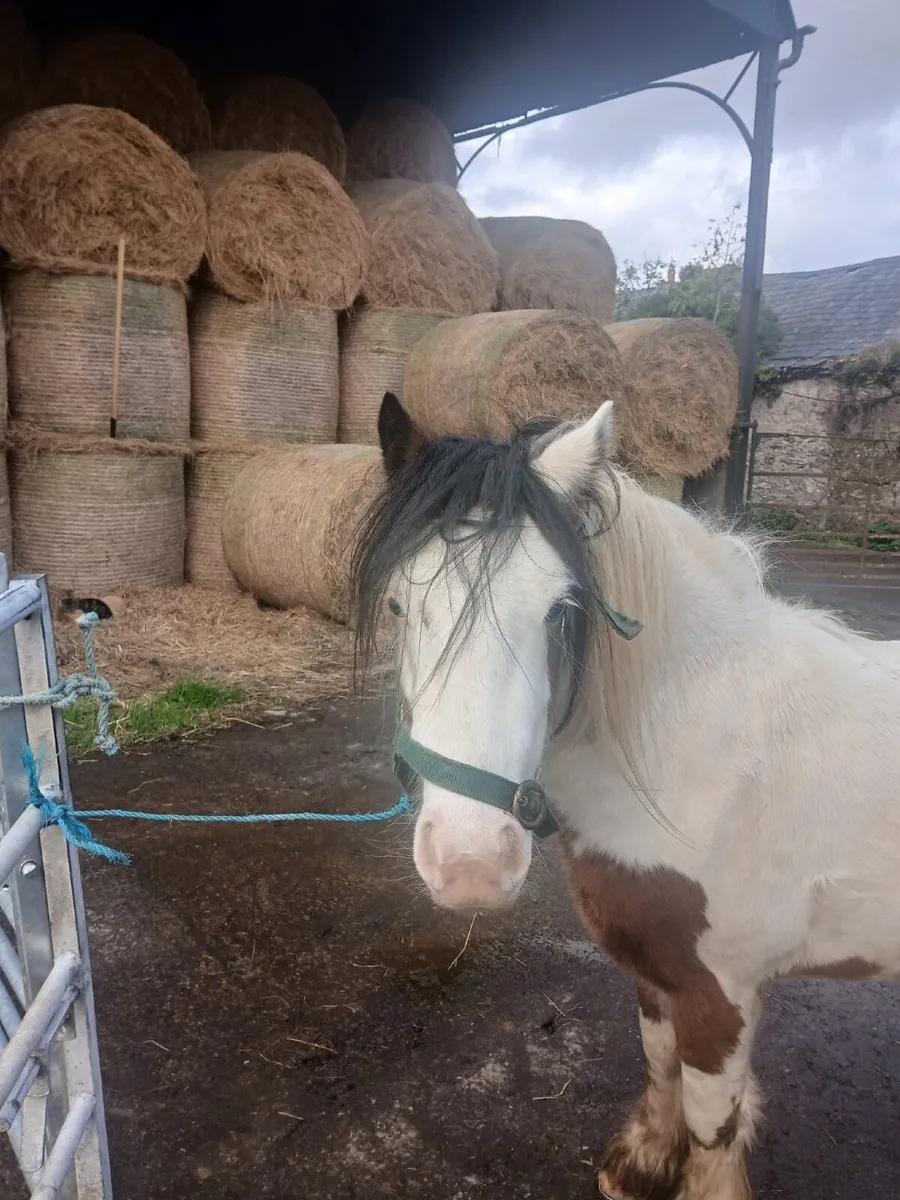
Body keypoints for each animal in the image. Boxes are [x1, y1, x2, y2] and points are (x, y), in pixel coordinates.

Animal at [351, 391, 900, 1200]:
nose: (472, 866)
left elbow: (712, 1125)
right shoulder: (658, 970)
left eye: (559, 610)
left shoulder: (721, 993)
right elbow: (658, 1062)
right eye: (396, 607)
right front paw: (642, 1162)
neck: (709, 759)